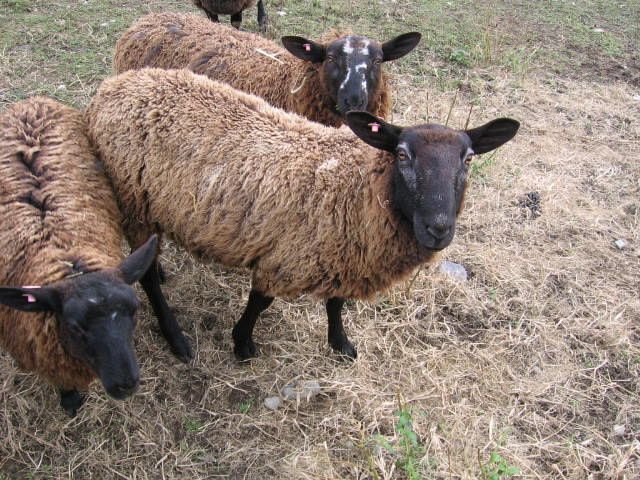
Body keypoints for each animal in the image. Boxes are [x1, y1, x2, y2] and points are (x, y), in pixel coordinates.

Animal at [0, 96, 168, 416]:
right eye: (75, 327)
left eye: (134, 311)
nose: (125, 384)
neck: (68, 258)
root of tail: (31, 102)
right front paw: (69, 399)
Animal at [85, 67, 520, 360]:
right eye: (402, 155)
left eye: (468, 158)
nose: (438, 229)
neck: (354, 187)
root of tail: (111, 88)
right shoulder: (284, 256)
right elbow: (260, 302)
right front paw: (243, 343)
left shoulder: (344, 252)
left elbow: (336, 303)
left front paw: (341, 344)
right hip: (133, 200)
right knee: (145, 281)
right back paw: (176, 338)